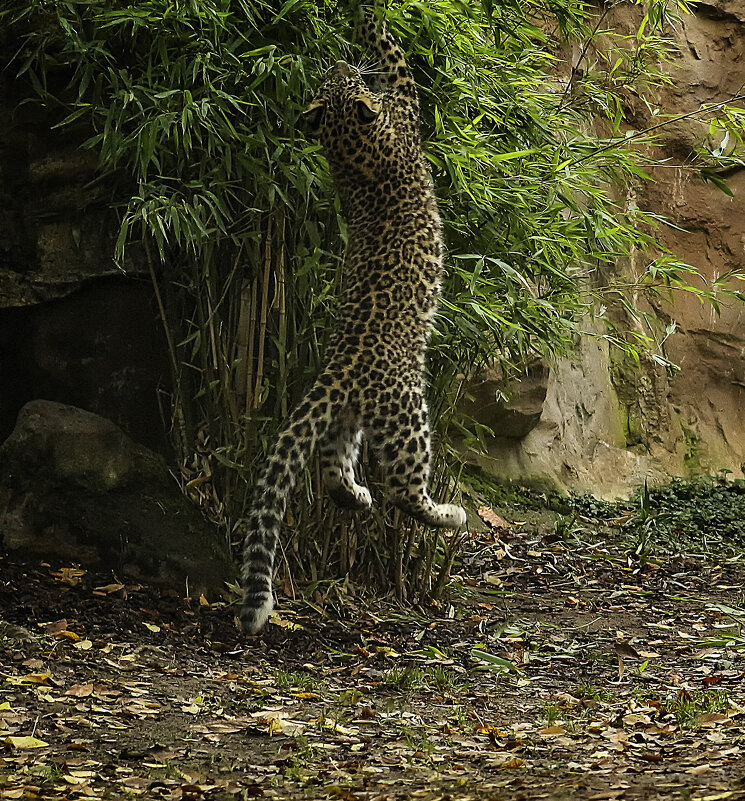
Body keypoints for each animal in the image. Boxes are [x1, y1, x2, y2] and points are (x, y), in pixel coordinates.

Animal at [240, 3, 464, 636]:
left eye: (328, 82)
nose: (339, 61)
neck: (347, 147)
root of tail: (341, 367)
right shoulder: (406, 102)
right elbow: (394, 52)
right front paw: (366, 14)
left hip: (346, 419)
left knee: (328, 468)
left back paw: (357, 498)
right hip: (409, 412)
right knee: (405, 490)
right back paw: (449, 513)